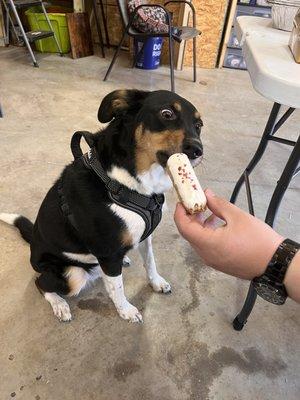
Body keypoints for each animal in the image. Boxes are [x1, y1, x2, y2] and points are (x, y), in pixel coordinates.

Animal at [0, 89, 204, 324]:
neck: (126, 182)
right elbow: (117, 288)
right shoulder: (108, 254)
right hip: (71, 274)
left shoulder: (144, 237)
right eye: (167, 113)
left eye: (199, 125)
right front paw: (126, 311)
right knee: (41, 283)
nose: (198, 150)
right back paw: (60, 305)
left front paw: (157, 283)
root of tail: (33, 242)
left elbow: (150, 261)